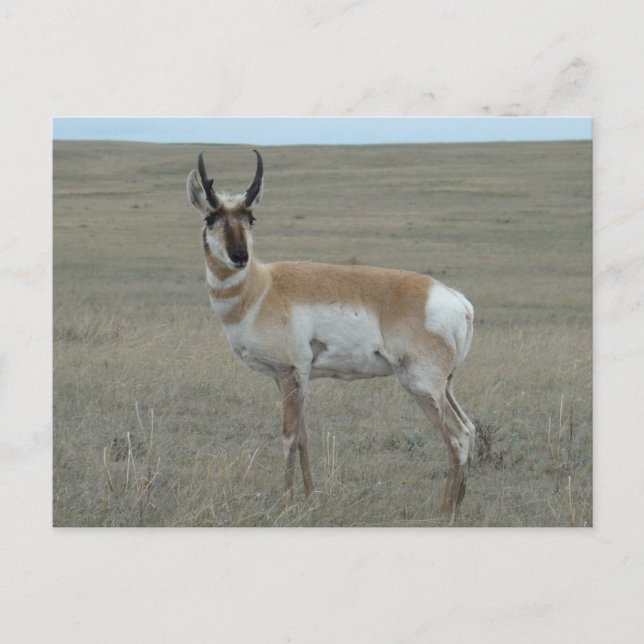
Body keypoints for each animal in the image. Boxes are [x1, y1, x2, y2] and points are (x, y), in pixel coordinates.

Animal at [186, 150, 475, 523]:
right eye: (211, 218)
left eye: (250, 218)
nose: (240, 257)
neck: (262, 288)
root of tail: (454, 299)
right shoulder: (291, 379)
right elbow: (303, 437)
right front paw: (311, 500)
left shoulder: (291, 374)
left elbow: (288, 437)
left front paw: (287, 505)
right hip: (446, 387)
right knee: (470, 428)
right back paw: (458, 509)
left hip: (422, 386)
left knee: (456, 436)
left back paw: (443, 514)